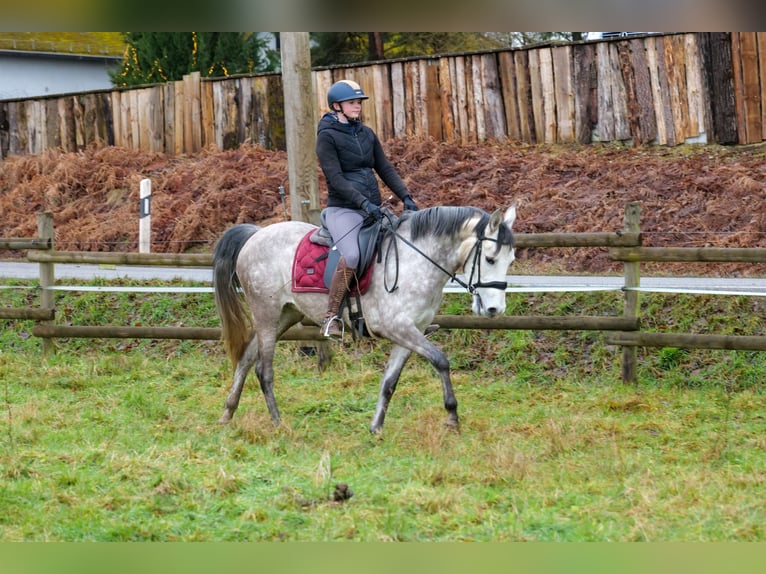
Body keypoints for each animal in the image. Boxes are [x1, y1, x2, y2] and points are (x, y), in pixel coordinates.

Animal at [213, 205, 520, 434]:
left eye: (510, 260)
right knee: (263, 370)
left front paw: (376, 427)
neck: (417, 261)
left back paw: (228, 412)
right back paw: (277, 423)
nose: (495, 310)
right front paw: (452, 417)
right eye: (490, 259)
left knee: (246, 357)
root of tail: (256, 234)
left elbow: (390, 381)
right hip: (267, 313)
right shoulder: (398, 328)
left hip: (285, 316)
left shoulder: (411, 333)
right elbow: (441, 360)